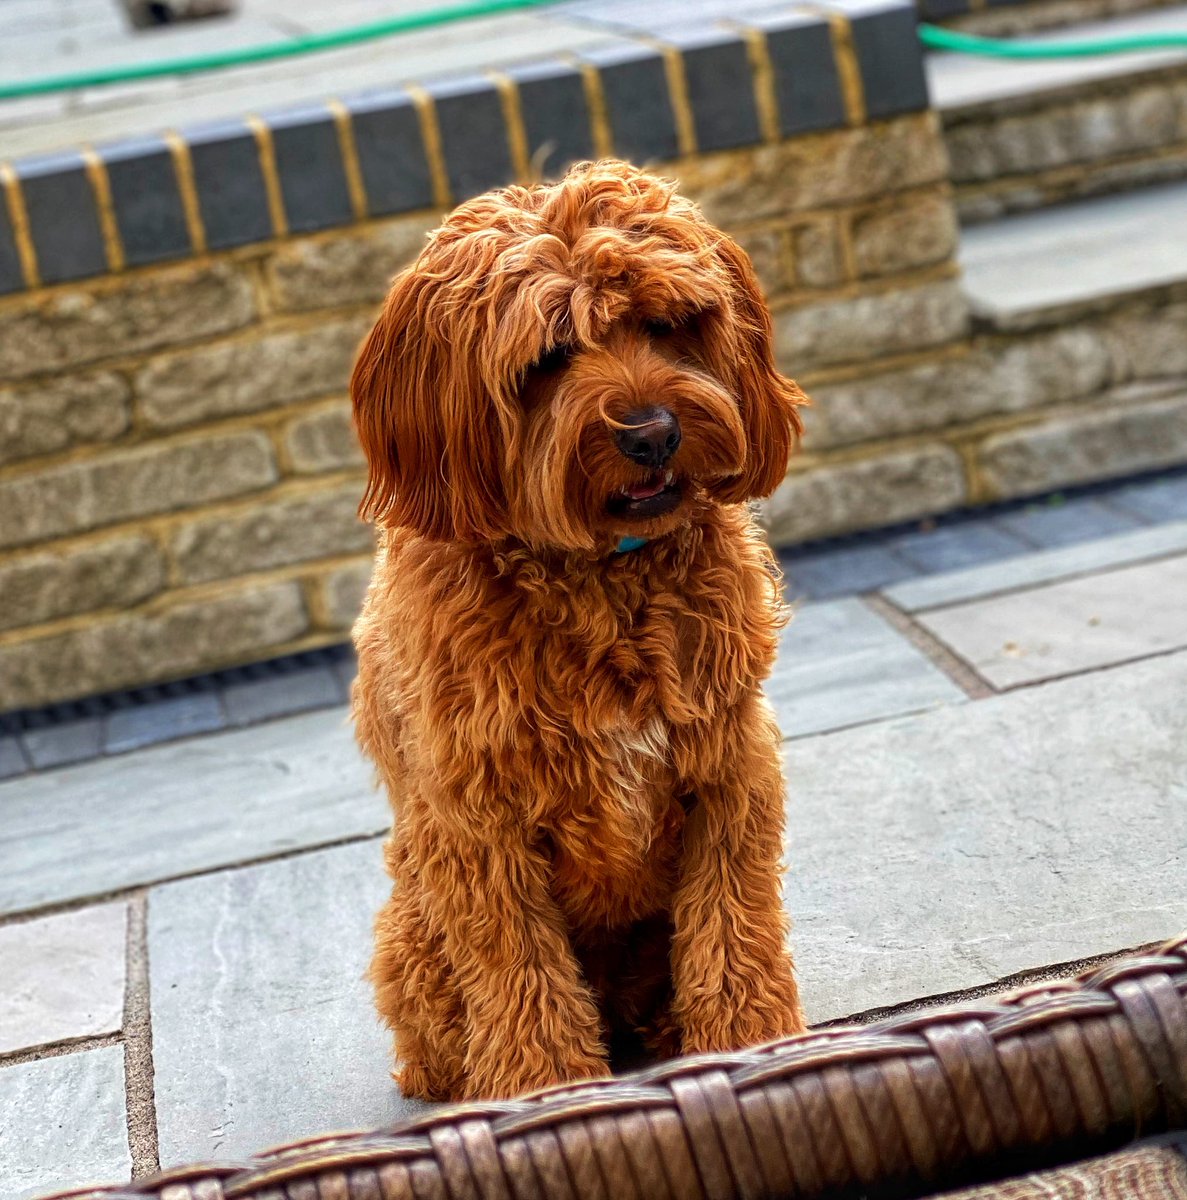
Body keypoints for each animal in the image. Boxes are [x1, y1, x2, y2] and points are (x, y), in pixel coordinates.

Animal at [348, 159, 801, 1104]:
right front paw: (550, 1094)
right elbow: (520, 973)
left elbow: (732, 926)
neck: (600, 573)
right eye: (548, 357)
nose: (653, 433)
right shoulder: (480, 827)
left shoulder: (728, 767)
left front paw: (754, 1045)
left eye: (668, 324)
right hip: (412, 924)